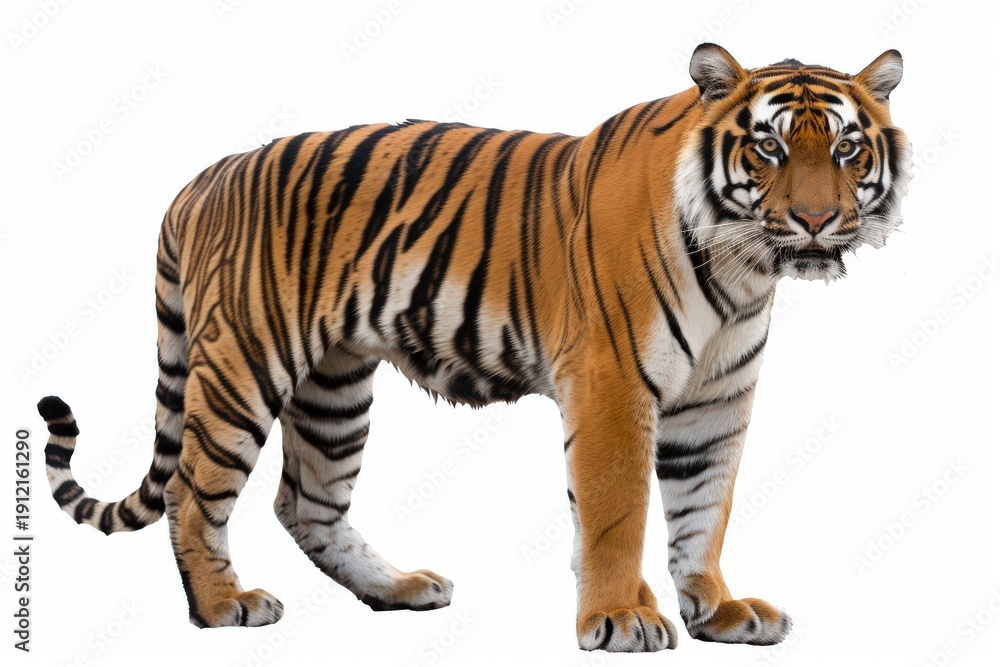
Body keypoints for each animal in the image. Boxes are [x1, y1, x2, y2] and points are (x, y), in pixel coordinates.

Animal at [38, 43, 910, 652]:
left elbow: (704, 508)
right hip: (243, 366)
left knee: (306, 501)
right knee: (193, 491)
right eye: (767, 149)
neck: (743, 268)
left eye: (845, 149)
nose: (815, 222)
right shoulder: (612, 383)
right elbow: (618, 510)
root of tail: (205, 176)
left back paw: (397, 588)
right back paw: (224, 606)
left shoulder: (717, 401)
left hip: (334, 387)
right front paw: (621, 617)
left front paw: (718, 610)